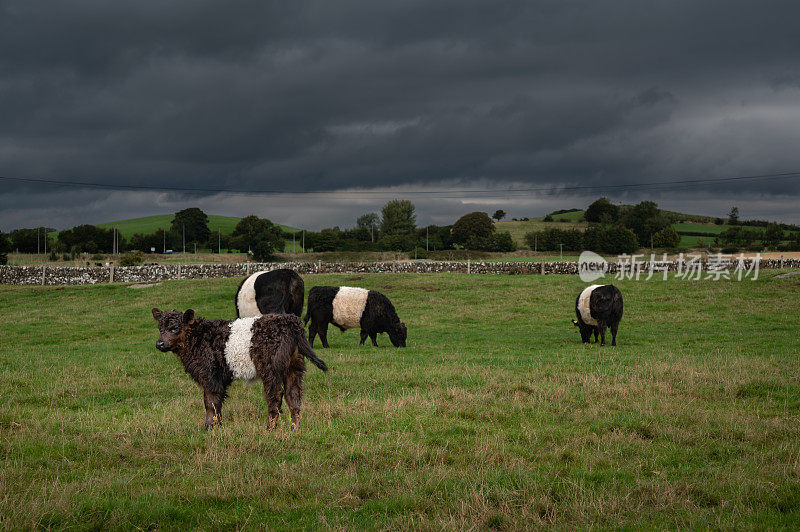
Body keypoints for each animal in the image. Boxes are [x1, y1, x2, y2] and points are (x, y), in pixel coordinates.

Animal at [152, 308, 326, 428]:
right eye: (160, 328)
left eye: (175, 327)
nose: (160, 343)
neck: (198, 338)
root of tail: (290, 320)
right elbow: (216, 402)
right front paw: (217, 425)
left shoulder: (210, 374)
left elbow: (210, 402)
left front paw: (209, 427)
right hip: (295, 366)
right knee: (293, 395)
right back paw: (294, 428)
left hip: (270, 369)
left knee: (275, 396)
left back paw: (270, 429)